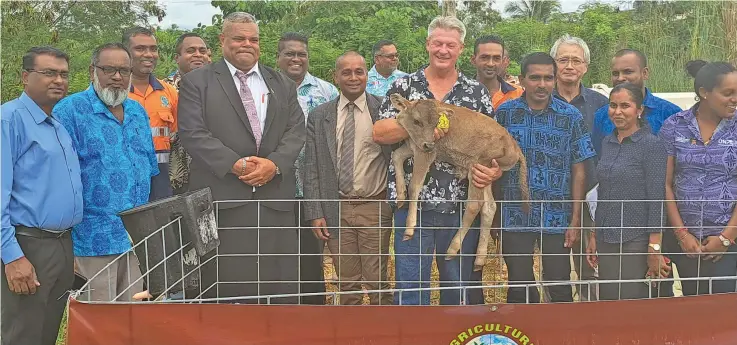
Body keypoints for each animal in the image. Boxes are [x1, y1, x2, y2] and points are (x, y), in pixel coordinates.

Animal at [392, 94, 528, 272]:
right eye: (417, 121)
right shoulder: (412, 146)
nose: (429, 143)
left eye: (436, 124)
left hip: (478, 166)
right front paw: (400, 196)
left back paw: (452, 249)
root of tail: (516, 149)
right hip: (484, 175)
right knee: (489, 207)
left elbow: (414, 186)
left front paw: (409, 229)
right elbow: (396, 156)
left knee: (474, 206)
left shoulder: (425, 154)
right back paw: (479, 260)